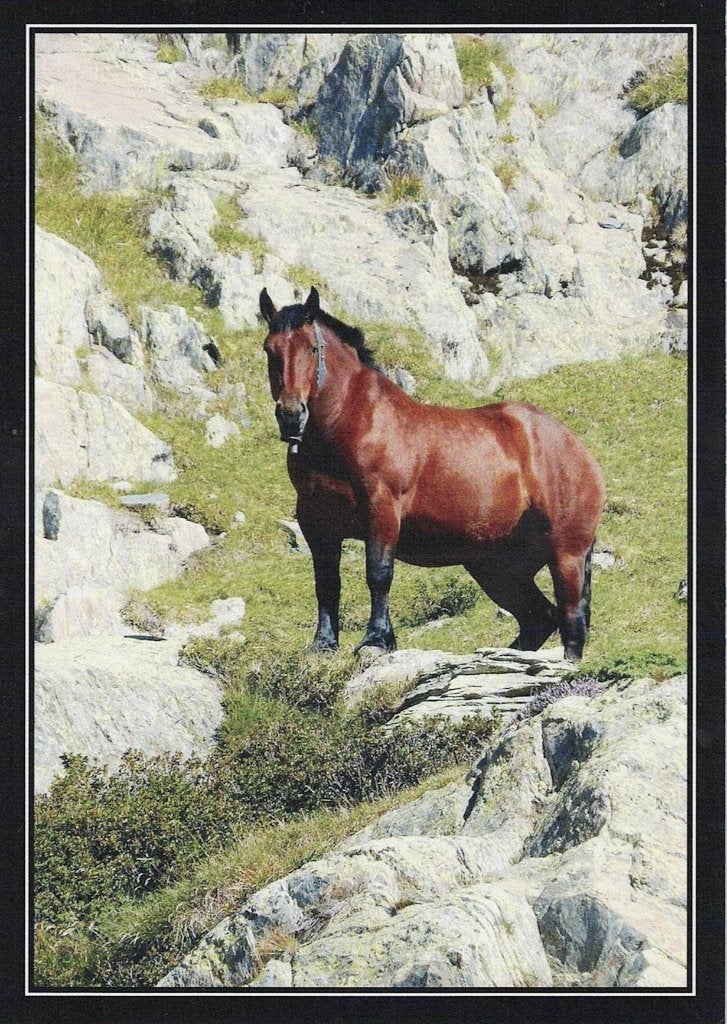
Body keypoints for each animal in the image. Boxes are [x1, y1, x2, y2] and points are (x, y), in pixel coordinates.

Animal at [259, 286, 606, 663]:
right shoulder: (315, 520)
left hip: (566, 554)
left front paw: (376, 640)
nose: (291, 415)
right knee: (539, 618)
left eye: (312, 348)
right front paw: (324, 644)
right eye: (270, 349)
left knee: (571, 621)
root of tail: (578, 451)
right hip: (496, 567)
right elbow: (326, 582)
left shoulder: (381, 509)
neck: (353, 423)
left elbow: (378, 573)